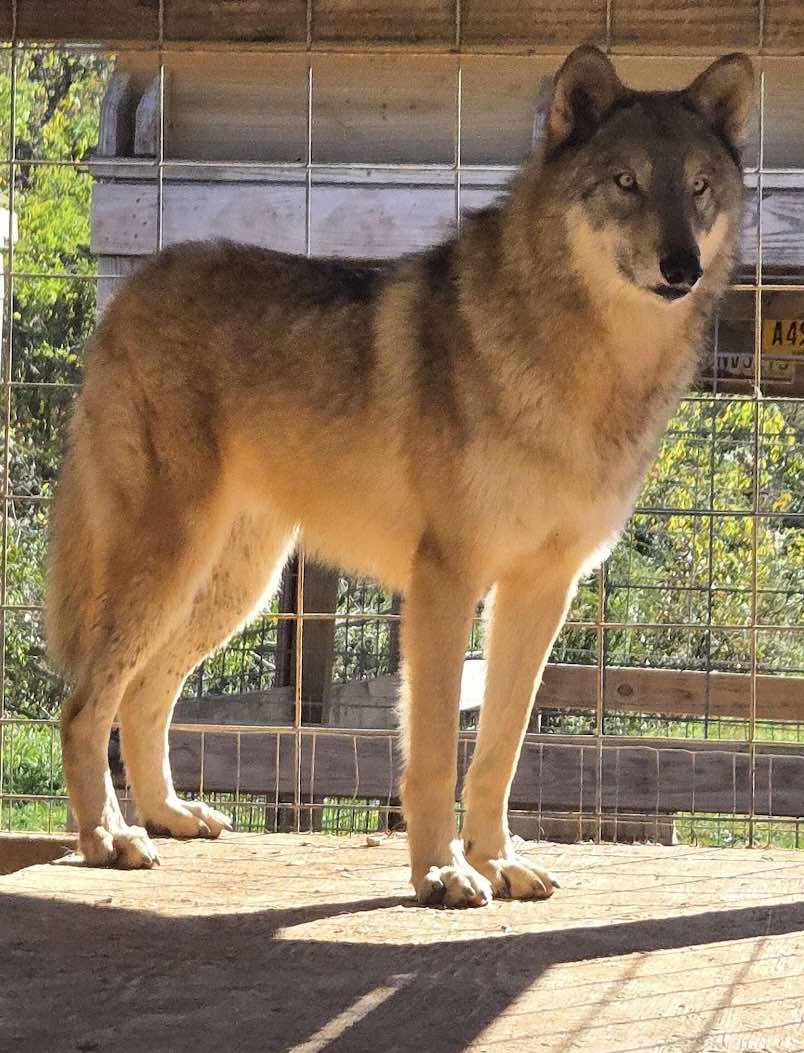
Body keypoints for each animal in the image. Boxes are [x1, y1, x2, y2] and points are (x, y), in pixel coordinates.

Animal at [45, 46, 753, 907]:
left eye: (699, 187)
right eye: (626, 182)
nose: (681, 266)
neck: (579, 367)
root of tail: (132, 290)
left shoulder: (541, 589)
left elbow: (500, 749)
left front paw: (496, 859)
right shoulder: (445, 581)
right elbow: (436, 752)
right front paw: (443, 872)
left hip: (233, 587)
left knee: (145, 694)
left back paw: (170, 815)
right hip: (172, 569)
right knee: (86, 703)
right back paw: (108, 838)